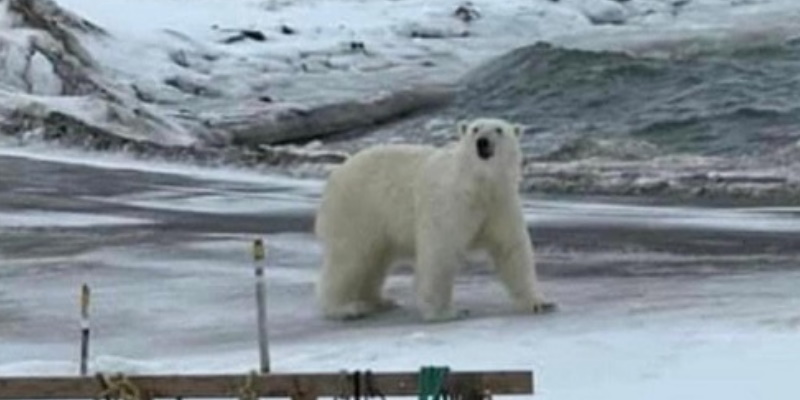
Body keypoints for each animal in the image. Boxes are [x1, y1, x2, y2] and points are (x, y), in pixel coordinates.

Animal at [313, 117, 554, 322]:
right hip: (359, 209)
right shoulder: (450, 205)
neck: (477, 187)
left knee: (375, 260)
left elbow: (512, 250)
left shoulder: (501, 204)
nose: (482, 142)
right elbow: (440, 252)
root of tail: (336, 175)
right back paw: (346, 308)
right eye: (475, 129)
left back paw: (379, 301)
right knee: (350, 258)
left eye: (499, 130)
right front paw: (446, 312)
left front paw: (540, 303)